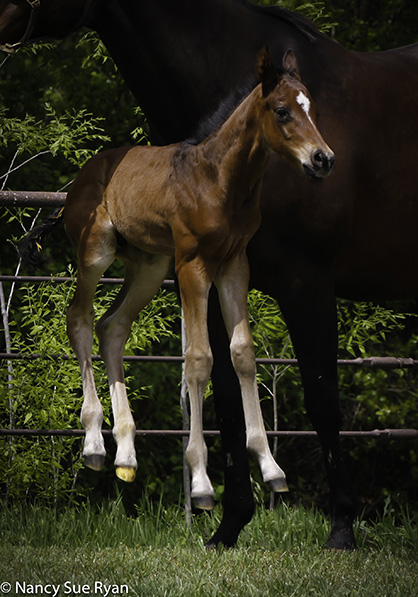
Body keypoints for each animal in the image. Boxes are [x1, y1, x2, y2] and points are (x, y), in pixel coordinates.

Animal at [66, 47, 334, 508]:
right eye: (282, 111)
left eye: (311, 108)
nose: (323, 159)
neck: (220, 180)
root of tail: (79, 179)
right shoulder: (192, 264)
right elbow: (199, 359)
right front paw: (202, 483)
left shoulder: (233, 264)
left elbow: (242, 353)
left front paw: (271, 468)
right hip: (96, 253)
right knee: (80, 319)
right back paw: (95, 446)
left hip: (150, 266)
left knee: (112, 326)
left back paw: (127, 456)